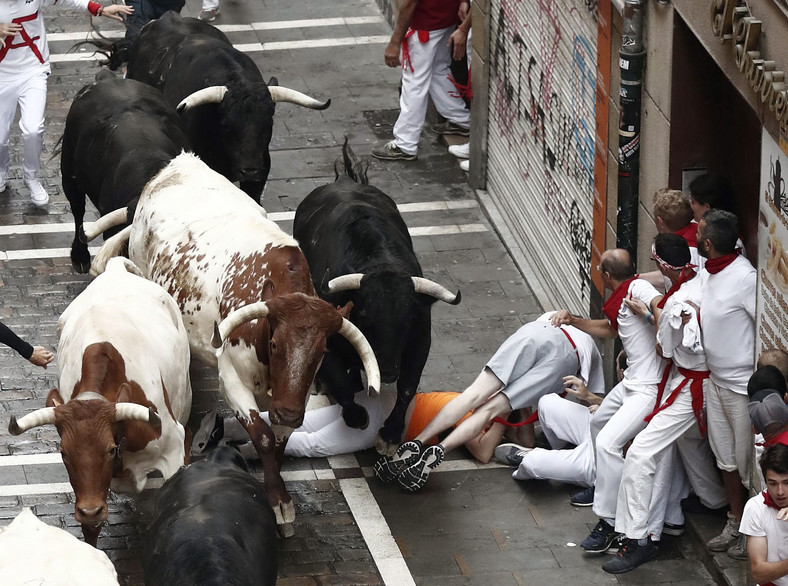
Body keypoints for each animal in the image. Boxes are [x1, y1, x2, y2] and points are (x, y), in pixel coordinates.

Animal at [89, 153, 378, 532]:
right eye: (275, 344)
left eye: (322, 350)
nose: (289, 411)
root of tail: (178, 163)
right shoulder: (232, 380)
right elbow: (264, 436)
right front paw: (277, 500)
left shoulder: (293, 394)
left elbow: (280, 440)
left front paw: (281, 494)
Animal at [292, 144, 458, 454]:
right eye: (365, 316)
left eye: (408, 321)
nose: (388, 371)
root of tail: (346, 180)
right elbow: (341, 382)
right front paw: (356, 416)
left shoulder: (420, 340)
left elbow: (407, 386)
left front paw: (390, 435)